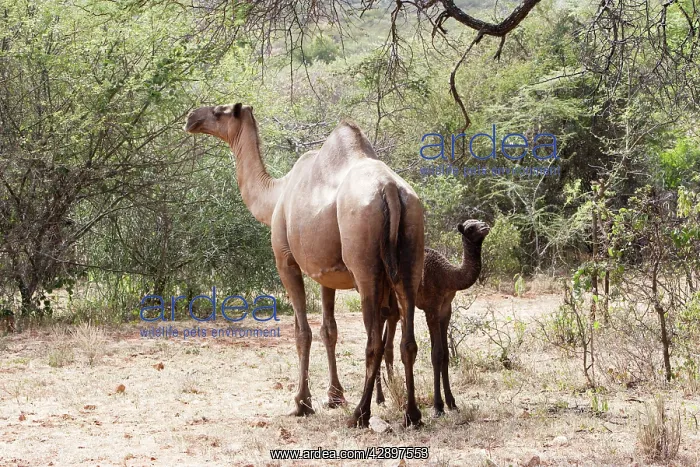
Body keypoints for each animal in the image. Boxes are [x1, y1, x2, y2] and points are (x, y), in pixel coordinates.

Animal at [184, 103, 425, 427]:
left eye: (220, 110)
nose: (191, 118)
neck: (275, 195)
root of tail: (389, 189)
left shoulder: (286, 261)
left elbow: (303, 333)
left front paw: (301, 402)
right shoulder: (327, 272)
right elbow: (329, 330)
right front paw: (334, 396)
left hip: (366, 268)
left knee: (373, 340)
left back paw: (360, 414)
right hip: (412, 253)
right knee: (408, 340)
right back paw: (412, 414)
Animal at [375, 219, 490, 416]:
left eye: (480, 222)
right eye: (470, 228)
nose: (486, 227)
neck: (449, 276)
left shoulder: (445, 310)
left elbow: (445, 355)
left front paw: (452, 402)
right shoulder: (432, 309)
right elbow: (436, 354)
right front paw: (438, 406)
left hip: (394, 307)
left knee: (387, 343)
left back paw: (391, 391)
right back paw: (380, 398)